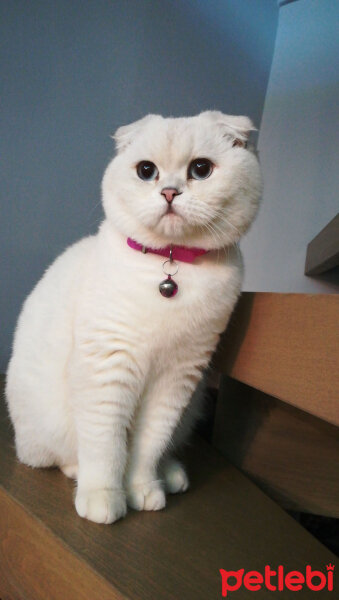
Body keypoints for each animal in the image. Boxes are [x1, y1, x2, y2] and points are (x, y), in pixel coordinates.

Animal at [6, 111, 264, 520]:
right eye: (147, 171)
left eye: (201, 169)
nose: (170, 192)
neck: (170, 267)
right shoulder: (108, 369)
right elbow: (108, 447)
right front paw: (105, 500)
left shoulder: (176, 379)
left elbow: (147, 447)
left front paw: (142, 490)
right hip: (41, 428)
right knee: (56, 457)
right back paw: (82, 476)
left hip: (192, 406)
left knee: (166, 449)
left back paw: (171, 476)